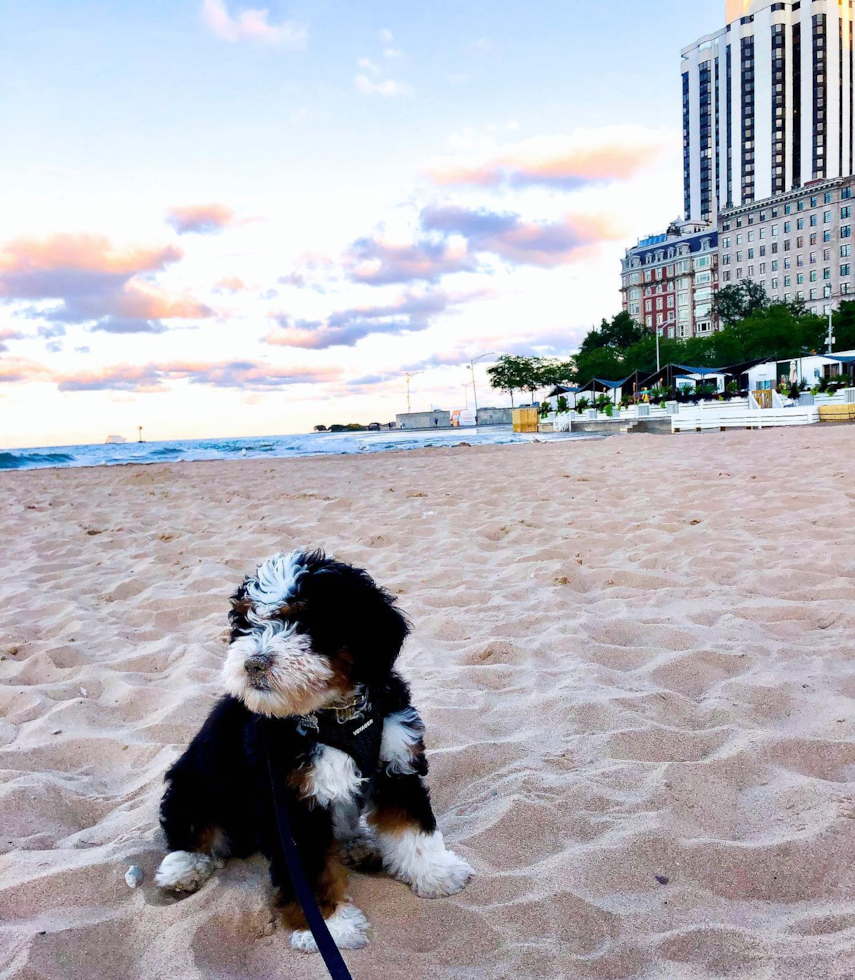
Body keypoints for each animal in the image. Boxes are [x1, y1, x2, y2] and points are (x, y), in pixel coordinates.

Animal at [155, 548, 474, 952]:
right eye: (247, 623)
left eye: (304, 622)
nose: (253, 663)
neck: (336, 714)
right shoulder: (289, 801)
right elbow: (310, 870)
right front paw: (329, 926)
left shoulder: (397, 764)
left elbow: (413, 826)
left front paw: (436, 872)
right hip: (194, 781)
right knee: (187, 827)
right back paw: (185, 867)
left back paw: (358, 844)